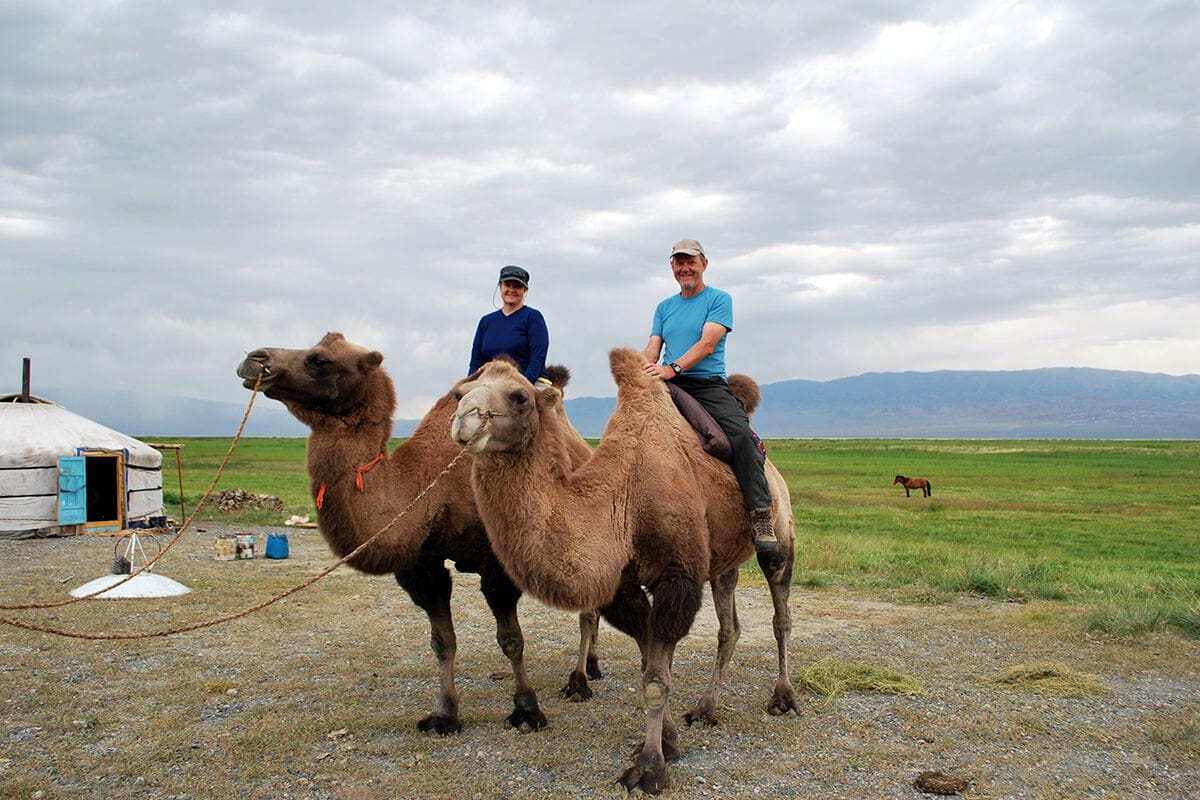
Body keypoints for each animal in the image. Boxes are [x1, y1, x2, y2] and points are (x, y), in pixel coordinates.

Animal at [235, 332, 602, 736]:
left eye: (319, 359)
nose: (255, 359)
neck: (428, 483)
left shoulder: (497, 563)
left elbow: (511, 640)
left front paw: (527, 710)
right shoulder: (422, 564)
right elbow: (442, 642)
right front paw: (444, 715)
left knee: (588, 608)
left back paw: (580, 680)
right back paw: (592, 668)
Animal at [451, 347, 798, 795]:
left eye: (520, 396)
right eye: (460, 391)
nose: (464, 418)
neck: (624, 501)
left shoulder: (677, 578)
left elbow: (656, 679)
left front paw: (649, 769)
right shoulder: (623, 587)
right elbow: (651, 664)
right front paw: (668, 740)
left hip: (779, 532)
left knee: (780, 613)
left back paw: (784, 698)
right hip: (723, 560)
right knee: (729, 627)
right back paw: (705, 709)